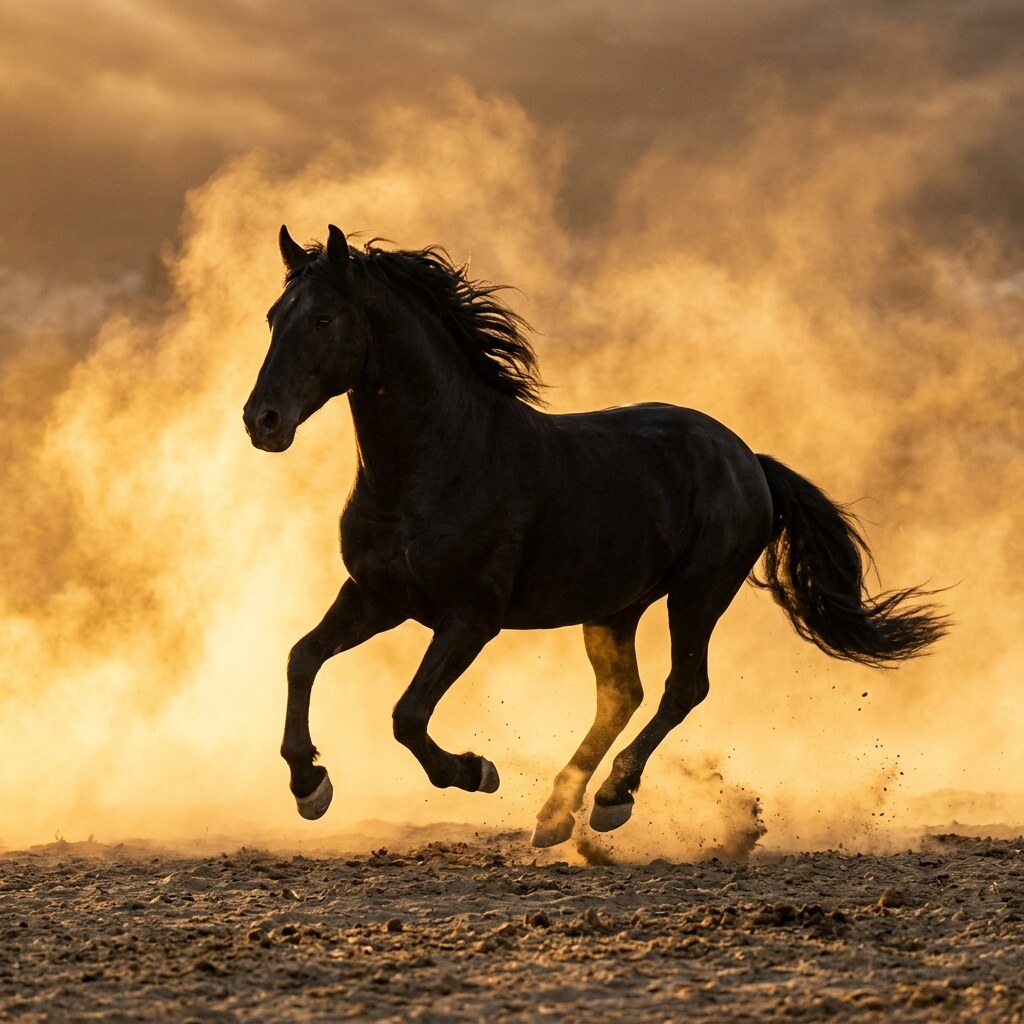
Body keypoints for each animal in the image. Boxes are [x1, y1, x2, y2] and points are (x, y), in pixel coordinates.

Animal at [243, 224, 947, 848]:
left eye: (324, 320)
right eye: (274, 317)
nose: (262, 420)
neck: (436, 465)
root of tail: (749, 459)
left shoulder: (470, 617)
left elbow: (408, 714)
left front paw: (477, 771)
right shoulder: (378, 597)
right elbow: (302, 657)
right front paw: (309, 787)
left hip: (698, 593)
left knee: (681, 689)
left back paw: (610, 800)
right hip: (615, 608)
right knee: (621, 695)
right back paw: (556, 817)